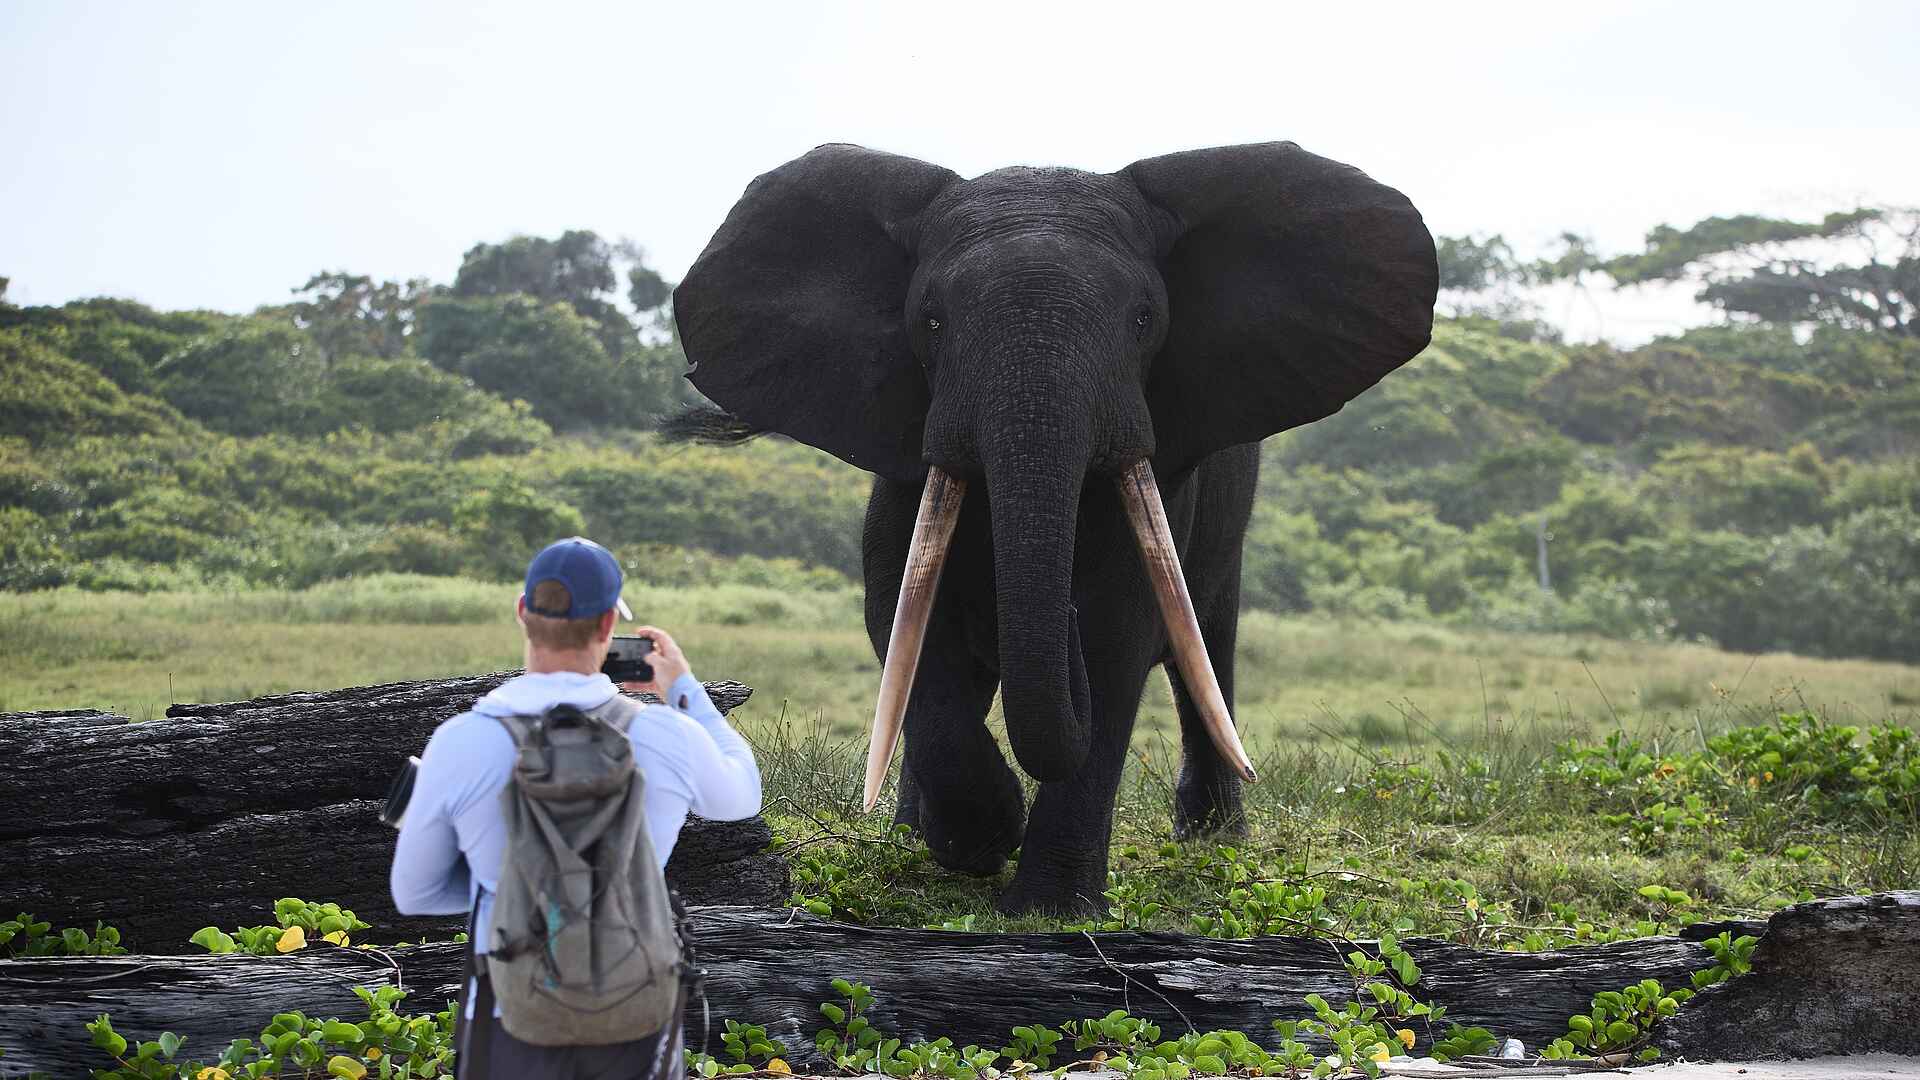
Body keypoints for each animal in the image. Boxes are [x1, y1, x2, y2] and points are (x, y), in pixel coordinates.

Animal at [670, 142, 1437, 915]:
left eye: (1143, 319)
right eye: (931, 321)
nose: (1054, 611)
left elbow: (1116, 633)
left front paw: (1050, 908)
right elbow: (903, 623)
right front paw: (979, 840)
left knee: (1208, 647)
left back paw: (1214, 836)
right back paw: (915, 835)